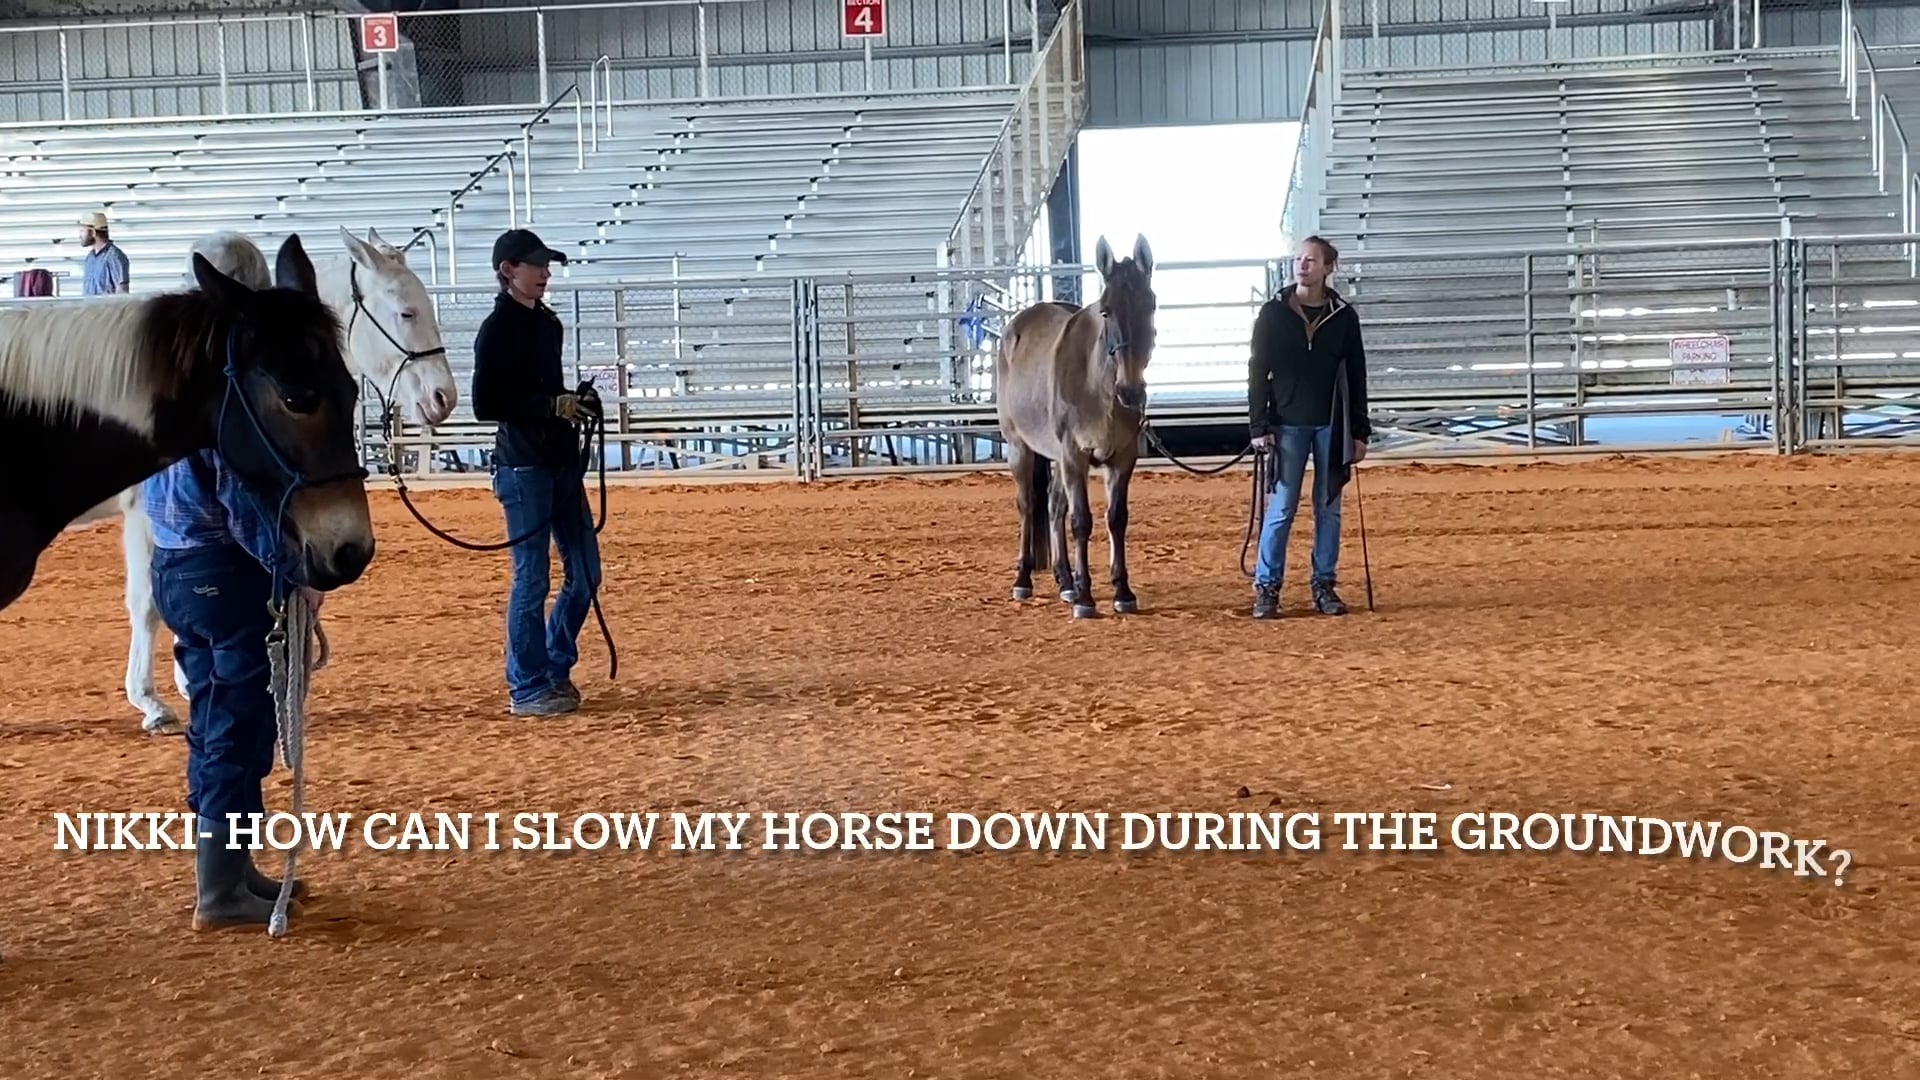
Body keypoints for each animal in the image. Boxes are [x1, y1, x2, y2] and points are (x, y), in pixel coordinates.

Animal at [995, 234, 1157, 620]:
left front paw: (1121, 590)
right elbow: (1081, 521)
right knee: (1028, 505)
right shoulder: (1074, 456)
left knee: (1054, 506)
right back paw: (1024, 580)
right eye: (1106, 310)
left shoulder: (1121, 459)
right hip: (1019, 448)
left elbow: (1116, 518)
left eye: (1151, 305)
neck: (1097, 386)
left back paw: (1066, 581)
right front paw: (1086, 599)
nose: (1131, 391)